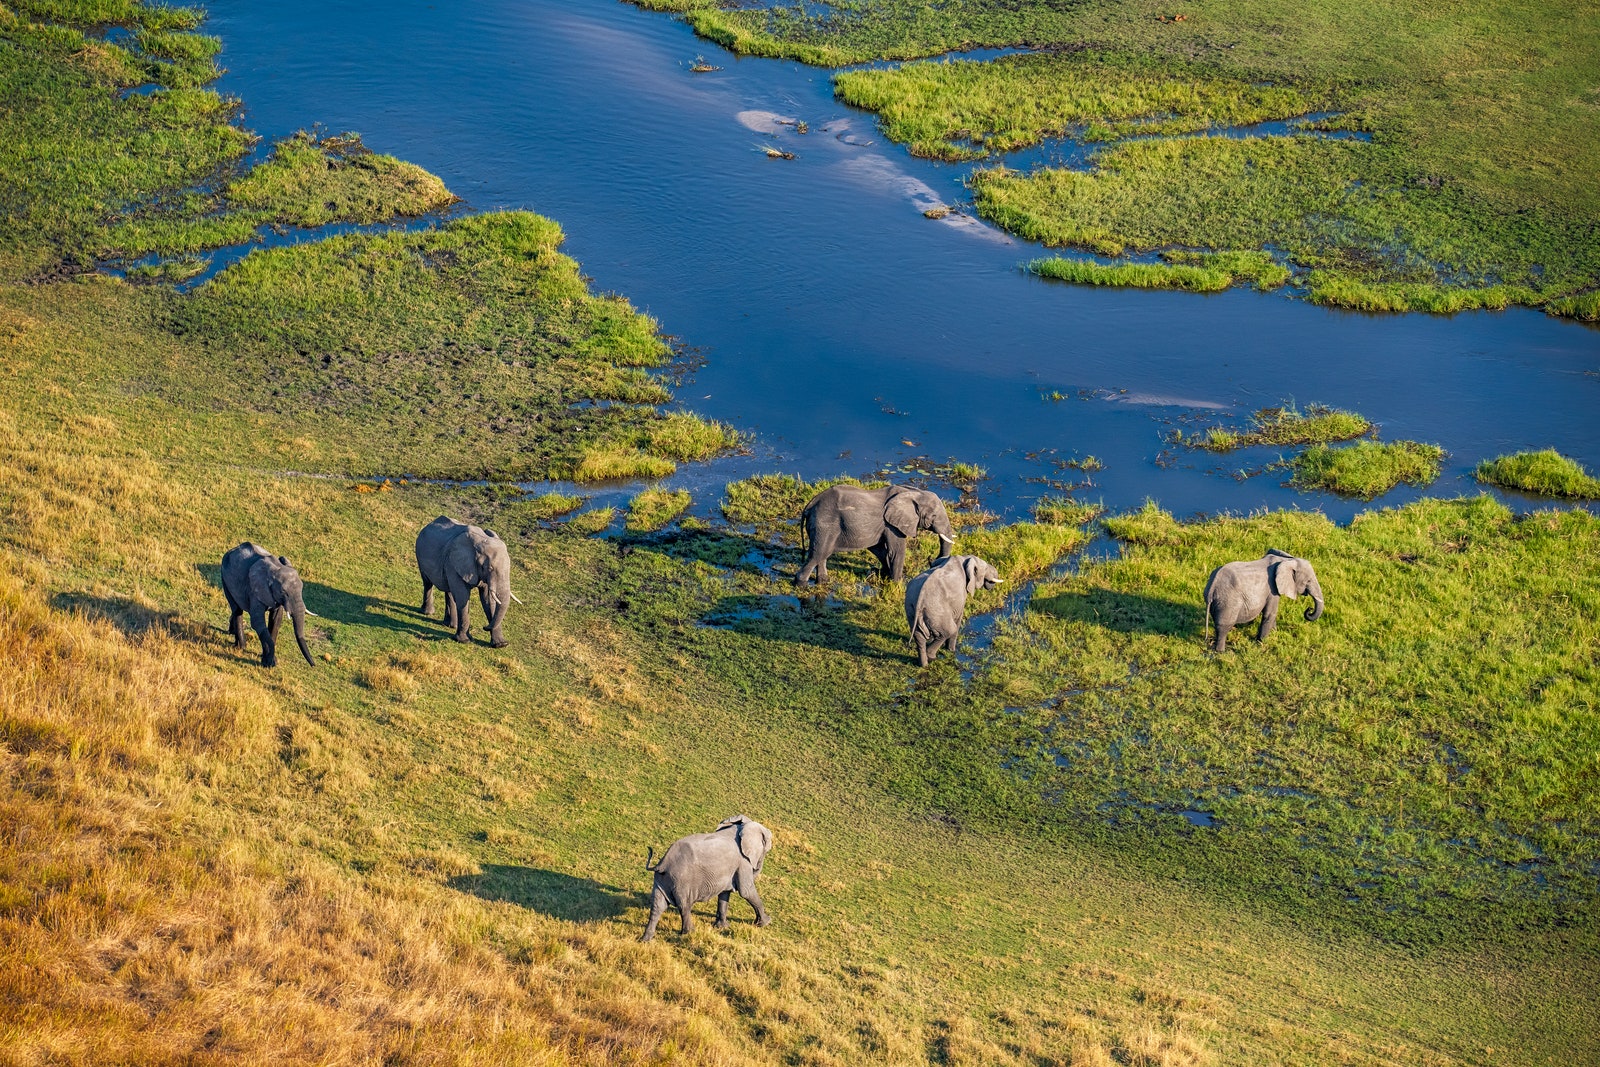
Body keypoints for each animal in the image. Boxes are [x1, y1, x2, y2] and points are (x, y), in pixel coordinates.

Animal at [412, 515, 512, 646]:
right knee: (428, 582)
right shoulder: (455, 562)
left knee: (449, 590)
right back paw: (428, 613)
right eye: (489, 568)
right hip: (420, 554)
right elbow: (462, 596)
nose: (485, 627)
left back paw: (450, 625)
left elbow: (487, 599)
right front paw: (464, 641)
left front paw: (500, 645)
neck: (480, 541)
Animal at [646, 812, 777, 940]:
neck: (742, 826)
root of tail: (663, 863)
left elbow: (724, 893)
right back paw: (689, 933)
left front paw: (722, 927)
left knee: (657, 906)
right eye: (766, 848)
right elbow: (746, 891)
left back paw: (646, 939)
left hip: (662, 879)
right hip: (681, 880)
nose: (756, 867)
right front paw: (767, 922)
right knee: (684, 905)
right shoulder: (743, 861)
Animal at [790, 483, 947, 585]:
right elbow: (896, 551)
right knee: (818, 553)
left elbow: (879, 549)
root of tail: (810, 505)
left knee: (823, 553)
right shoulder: (891, 525)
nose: (932, 560)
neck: (914, 492)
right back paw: (800, 584)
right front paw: (897, 585)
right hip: (824, 524)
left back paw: (823, 582)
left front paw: (884, 575)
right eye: (934, 516)